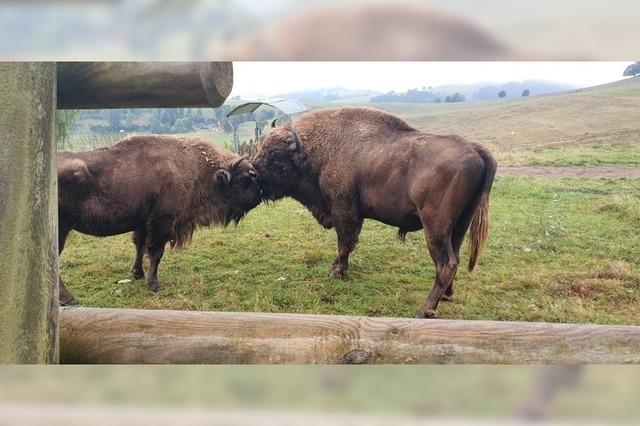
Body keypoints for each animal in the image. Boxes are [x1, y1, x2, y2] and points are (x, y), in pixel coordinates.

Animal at [57, 136, 262, 306]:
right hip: (60, 230)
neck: (197, 167)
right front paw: (154, 284)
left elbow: (140, 247)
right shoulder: (162, 224)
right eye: (244, 179)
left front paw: (138, 274)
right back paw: (70, 300)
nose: (259, 196)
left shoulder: (143, 223)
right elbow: (155, 253)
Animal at [252, 107, 498, 320]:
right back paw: (445, 296)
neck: (315, 150)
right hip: (459, 224)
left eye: (276, 155)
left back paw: (424, 310)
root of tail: (474, 149)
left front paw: (337, 272)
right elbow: (348, 243)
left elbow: (344, 244)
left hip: (435, 226)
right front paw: (336, 268)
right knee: (455, 256)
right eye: (261, 146)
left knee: (446, 263)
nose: (253, 172)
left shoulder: (343, 210)